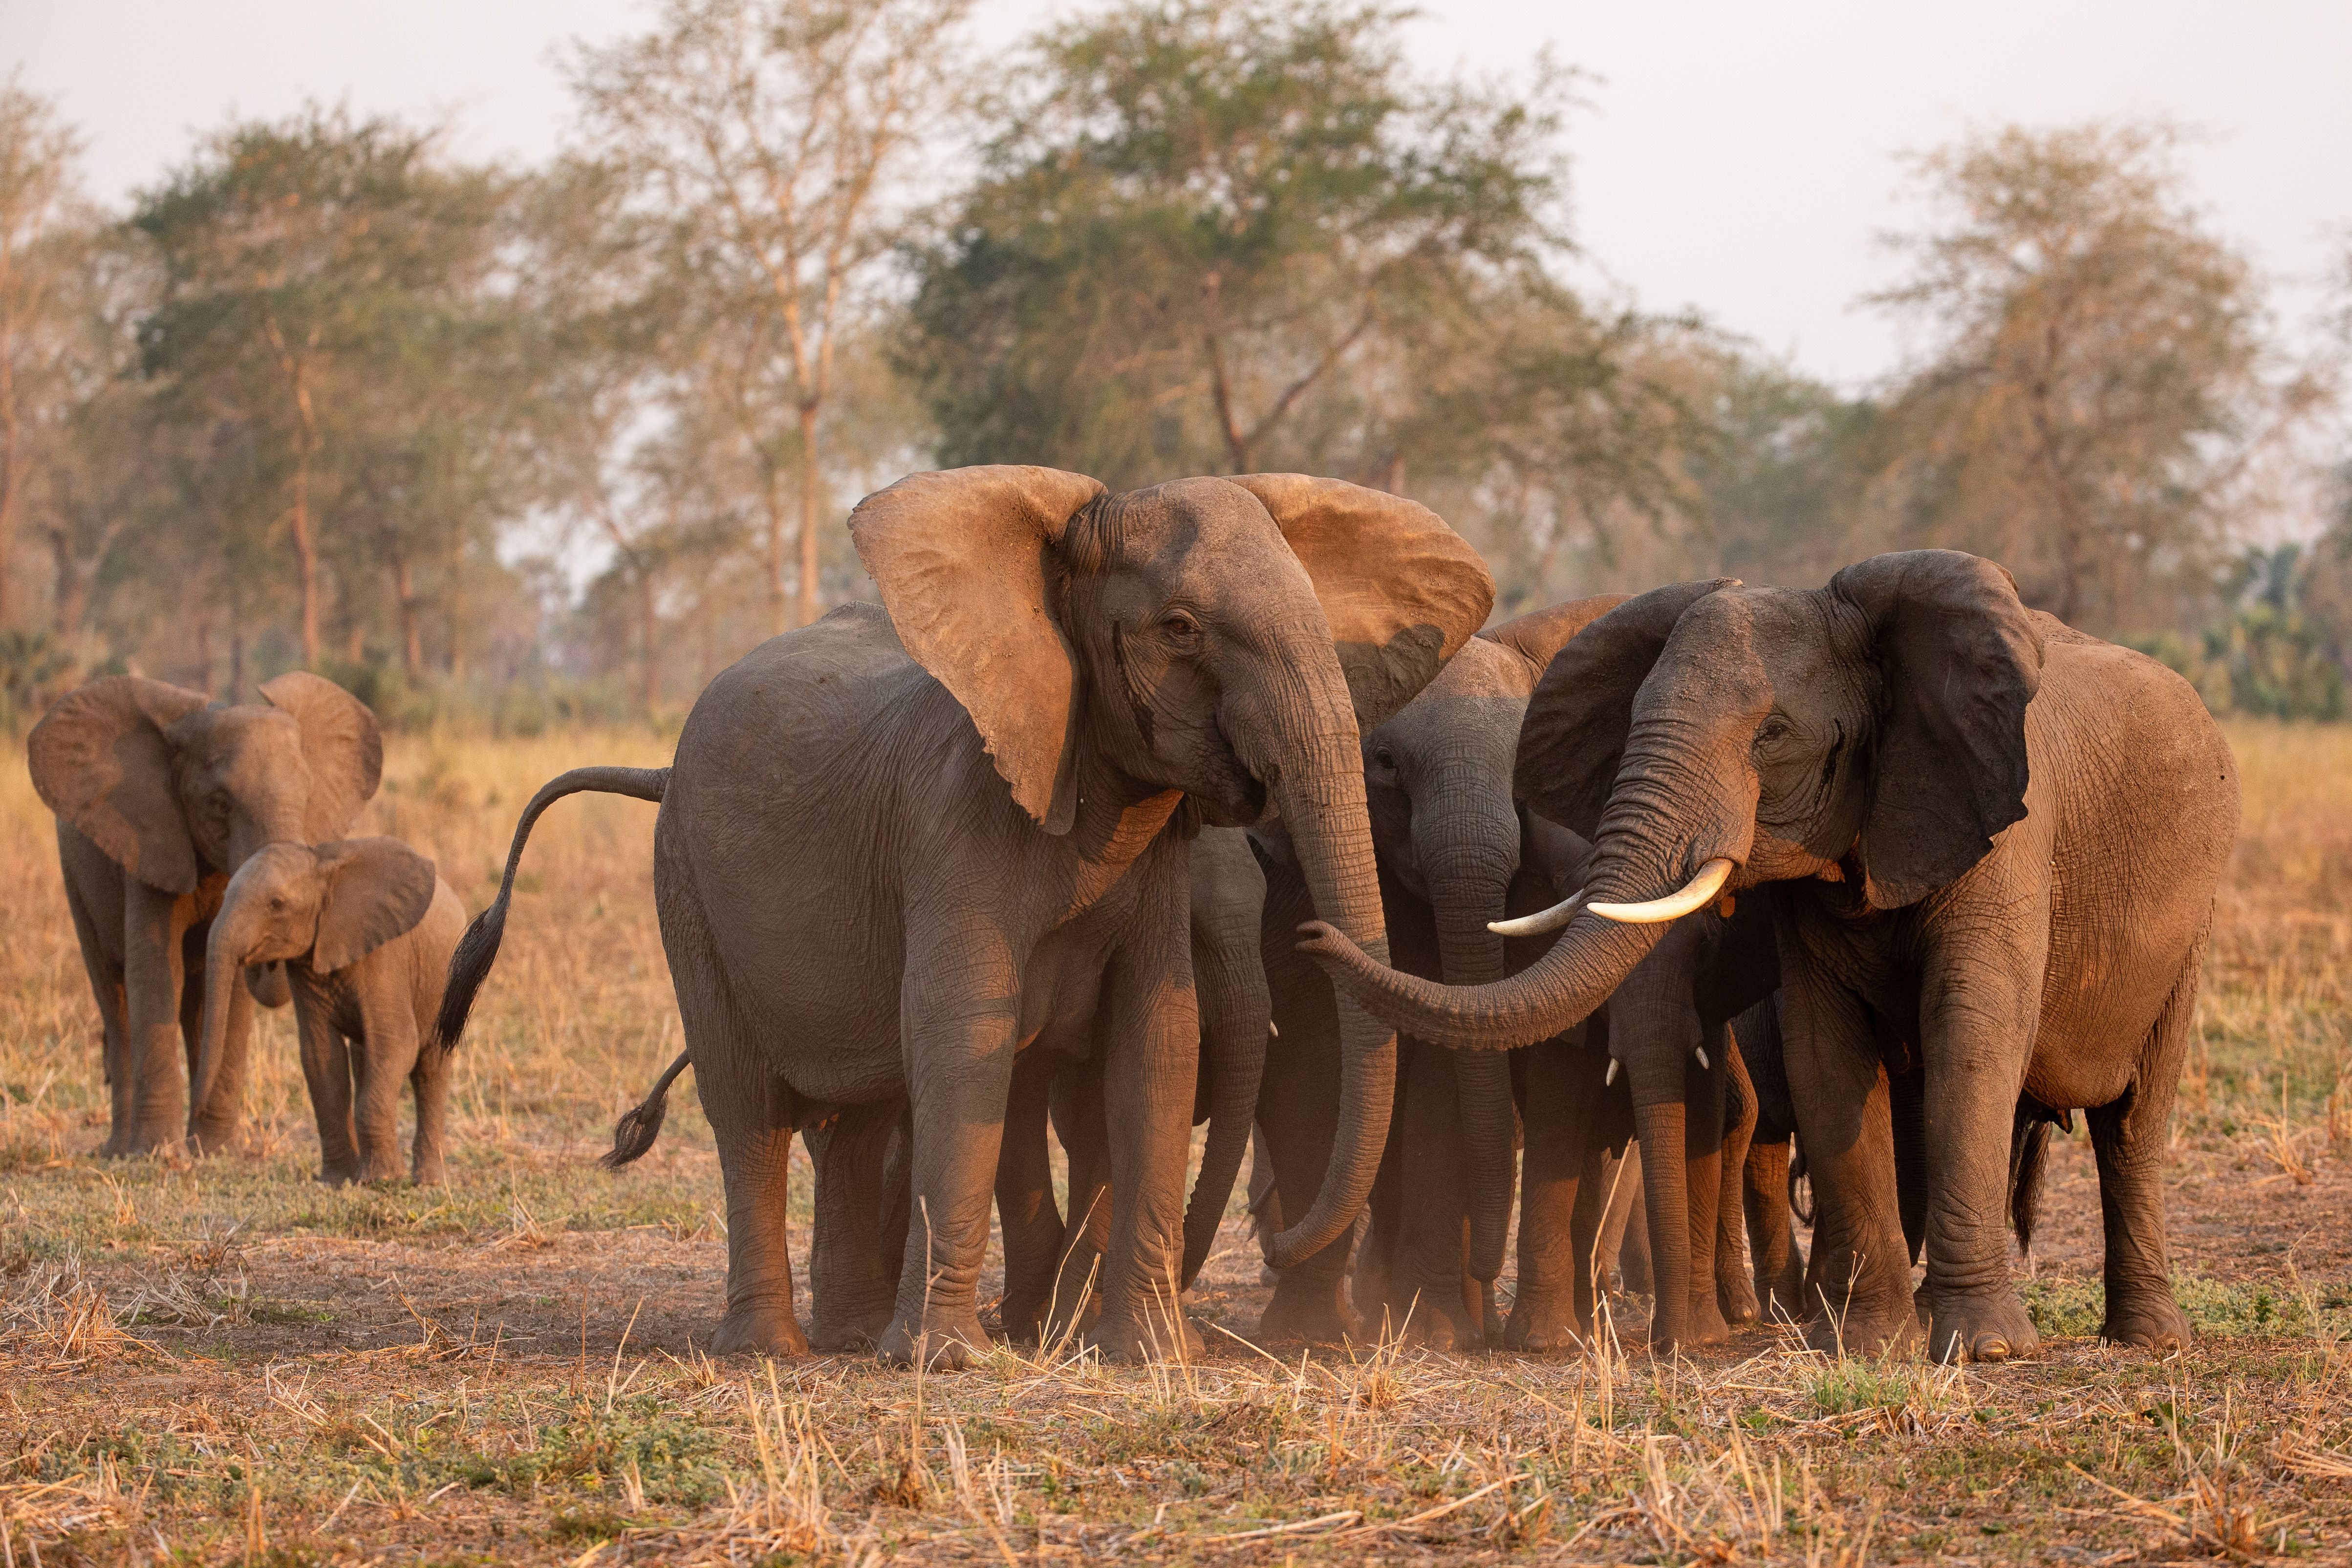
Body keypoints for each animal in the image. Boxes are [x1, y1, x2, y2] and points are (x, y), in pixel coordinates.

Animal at [29, 673, 383, 1155]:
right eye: (220, 804)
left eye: (308, 796)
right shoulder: (149, 842)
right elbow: (156, 970)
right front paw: (156, 1154)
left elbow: (230, 982)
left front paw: (215, 1152)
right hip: (76, 878)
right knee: (113, 995)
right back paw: (121, 1149)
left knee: (196, 1004)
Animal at [193, 838, 466, 1184]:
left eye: (276, 904)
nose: (197, 1111)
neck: (321, 865)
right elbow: (321, 1057)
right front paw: (338, 1182)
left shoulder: (385, 956)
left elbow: (398, 1044)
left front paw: (381, 1180)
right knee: (365, 1059)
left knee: (429, 1068)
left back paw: (427, 1181)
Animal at [437, 467, 1493, 1364]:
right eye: (1181, 627)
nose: (1315, 935)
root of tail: (659, 766)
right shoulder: (954, 828)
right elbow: (961, 1041)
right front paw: (948, 1362)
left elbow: (1156, 1039)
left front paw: (1155, 1357)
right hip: (683, 880)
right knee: (748, 1109)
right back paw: (773, 1351)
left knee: (857, 1115)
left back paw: (850, 1338)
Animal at [1304, 549, 2240, 1360]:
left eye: (1774, 734)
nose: (1313, 936)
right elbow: (1827, 1055)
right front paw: (1865, 1342)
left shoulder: (2005, 836)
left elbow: (1972, 1041)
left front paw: (1985, 1350)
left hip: (2192, 918)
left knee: (2133, 1120)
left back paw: (2146, 1339)